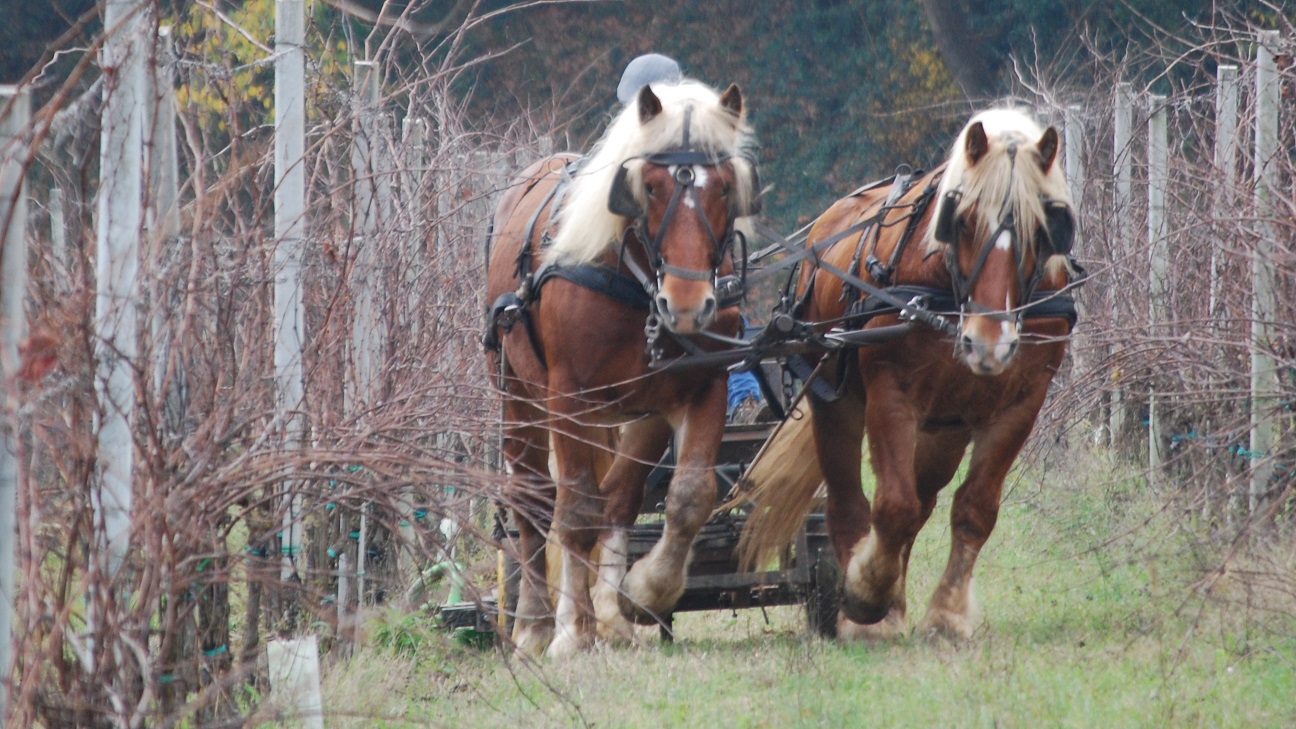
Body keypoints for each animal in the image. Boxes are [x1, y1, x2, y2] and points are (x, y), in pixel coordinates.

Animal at [483, 78, 760, 657]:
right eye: (649, 187)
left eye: (725, 187)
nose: (686, 304)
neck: (638, 283)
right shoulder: (567, 399)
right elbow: (574, 512)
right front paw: (572, 630)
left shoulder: (705, 385)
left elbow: (689, 497)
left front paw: (643, 593)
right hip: (516, 394)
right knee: (535, 502)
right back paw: (535, 624)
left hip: (640, 414)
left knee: (619, 499)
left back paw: (611, 614)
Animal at [741, 107, 1078, 640]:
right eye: (961, 222)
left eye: (1042, 228)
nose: (988, 342)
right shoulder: (890, 395)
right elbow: (891, 507)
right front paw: (863, 597)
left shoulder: (1022, 403)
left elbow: (974, 509)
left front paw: (946, 614)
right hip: (836, 402)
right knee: (850, 502)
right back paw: (865, 606)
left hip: (944, 430)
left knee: (922, 503)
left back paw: (894, 600)